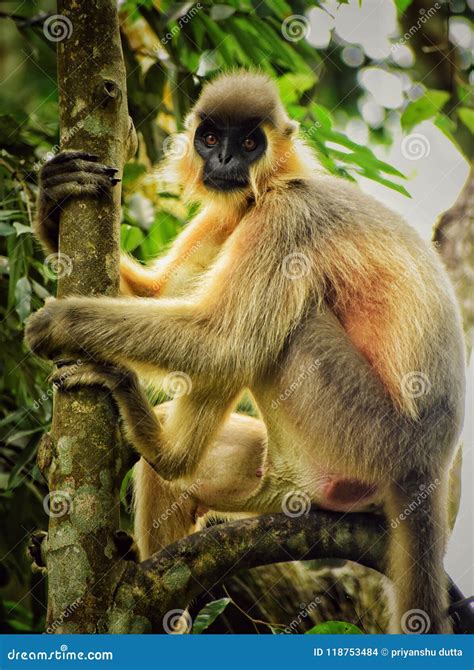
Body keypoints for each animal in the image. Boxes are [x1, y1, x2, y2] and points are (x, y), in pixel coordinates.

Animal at [26, 72, 466, 636]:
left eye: (251, 142)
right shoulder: (232, 215)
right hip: (289, 478)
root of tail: (429, 468)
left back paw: (159, 442)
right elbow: (160, 296)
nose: (225, 160)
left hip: (366, 435)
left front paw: (62, 323)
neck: (275, 184)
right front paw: (52, 198)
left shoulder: (287, 217)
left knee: (269, 333)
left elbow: (225, 341)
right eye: (211, 138)